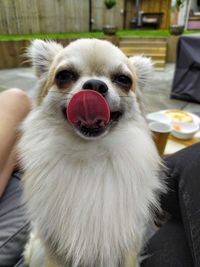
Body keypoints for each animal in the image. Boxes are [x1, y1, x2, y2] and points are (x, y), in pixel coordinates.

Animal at [18, 38, 163, 267]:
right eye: (64, 75)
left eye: (124, 79)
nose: (95, 85)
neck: (90, 151)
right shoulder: (54, 247)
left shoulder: (128, 242)